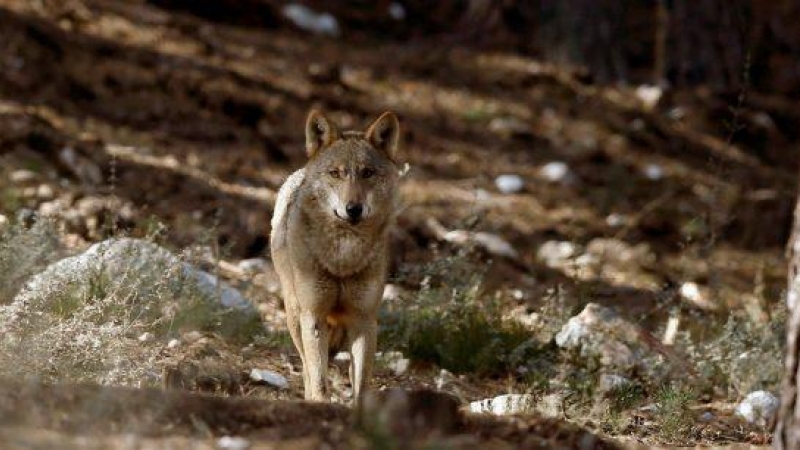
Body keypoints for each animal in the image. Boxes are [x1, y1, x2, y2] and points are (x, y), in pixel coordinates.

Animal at [272, 110, 404, 400]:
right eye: (335, 173)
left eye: (367, 173)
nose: (353, 209)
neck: (343, 257)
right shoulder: (314, 316)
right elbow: (319, 382)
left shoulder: (364, 321)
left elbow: (361, 388)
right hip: (295, 316)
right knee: (307, 371)